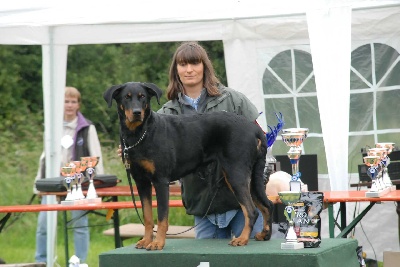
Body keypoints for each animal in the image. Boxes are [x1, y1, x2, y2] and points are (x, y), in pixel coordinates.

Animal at [103, 82, 274, 251]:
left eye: (142, 97)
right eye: (126, 97)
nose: (137, 113)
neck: (139, 134)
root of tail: (254, 129)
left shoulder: (160, 181)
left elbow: (162, 217)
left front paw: (158, 243)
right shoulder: (141, 182)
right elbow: (148, 216)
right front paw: (146, 240)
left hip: (236, 174)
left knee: (251, 211)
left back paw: (242, 239)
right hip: (250, 178)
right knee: (267, 206)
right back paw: (264, 235)